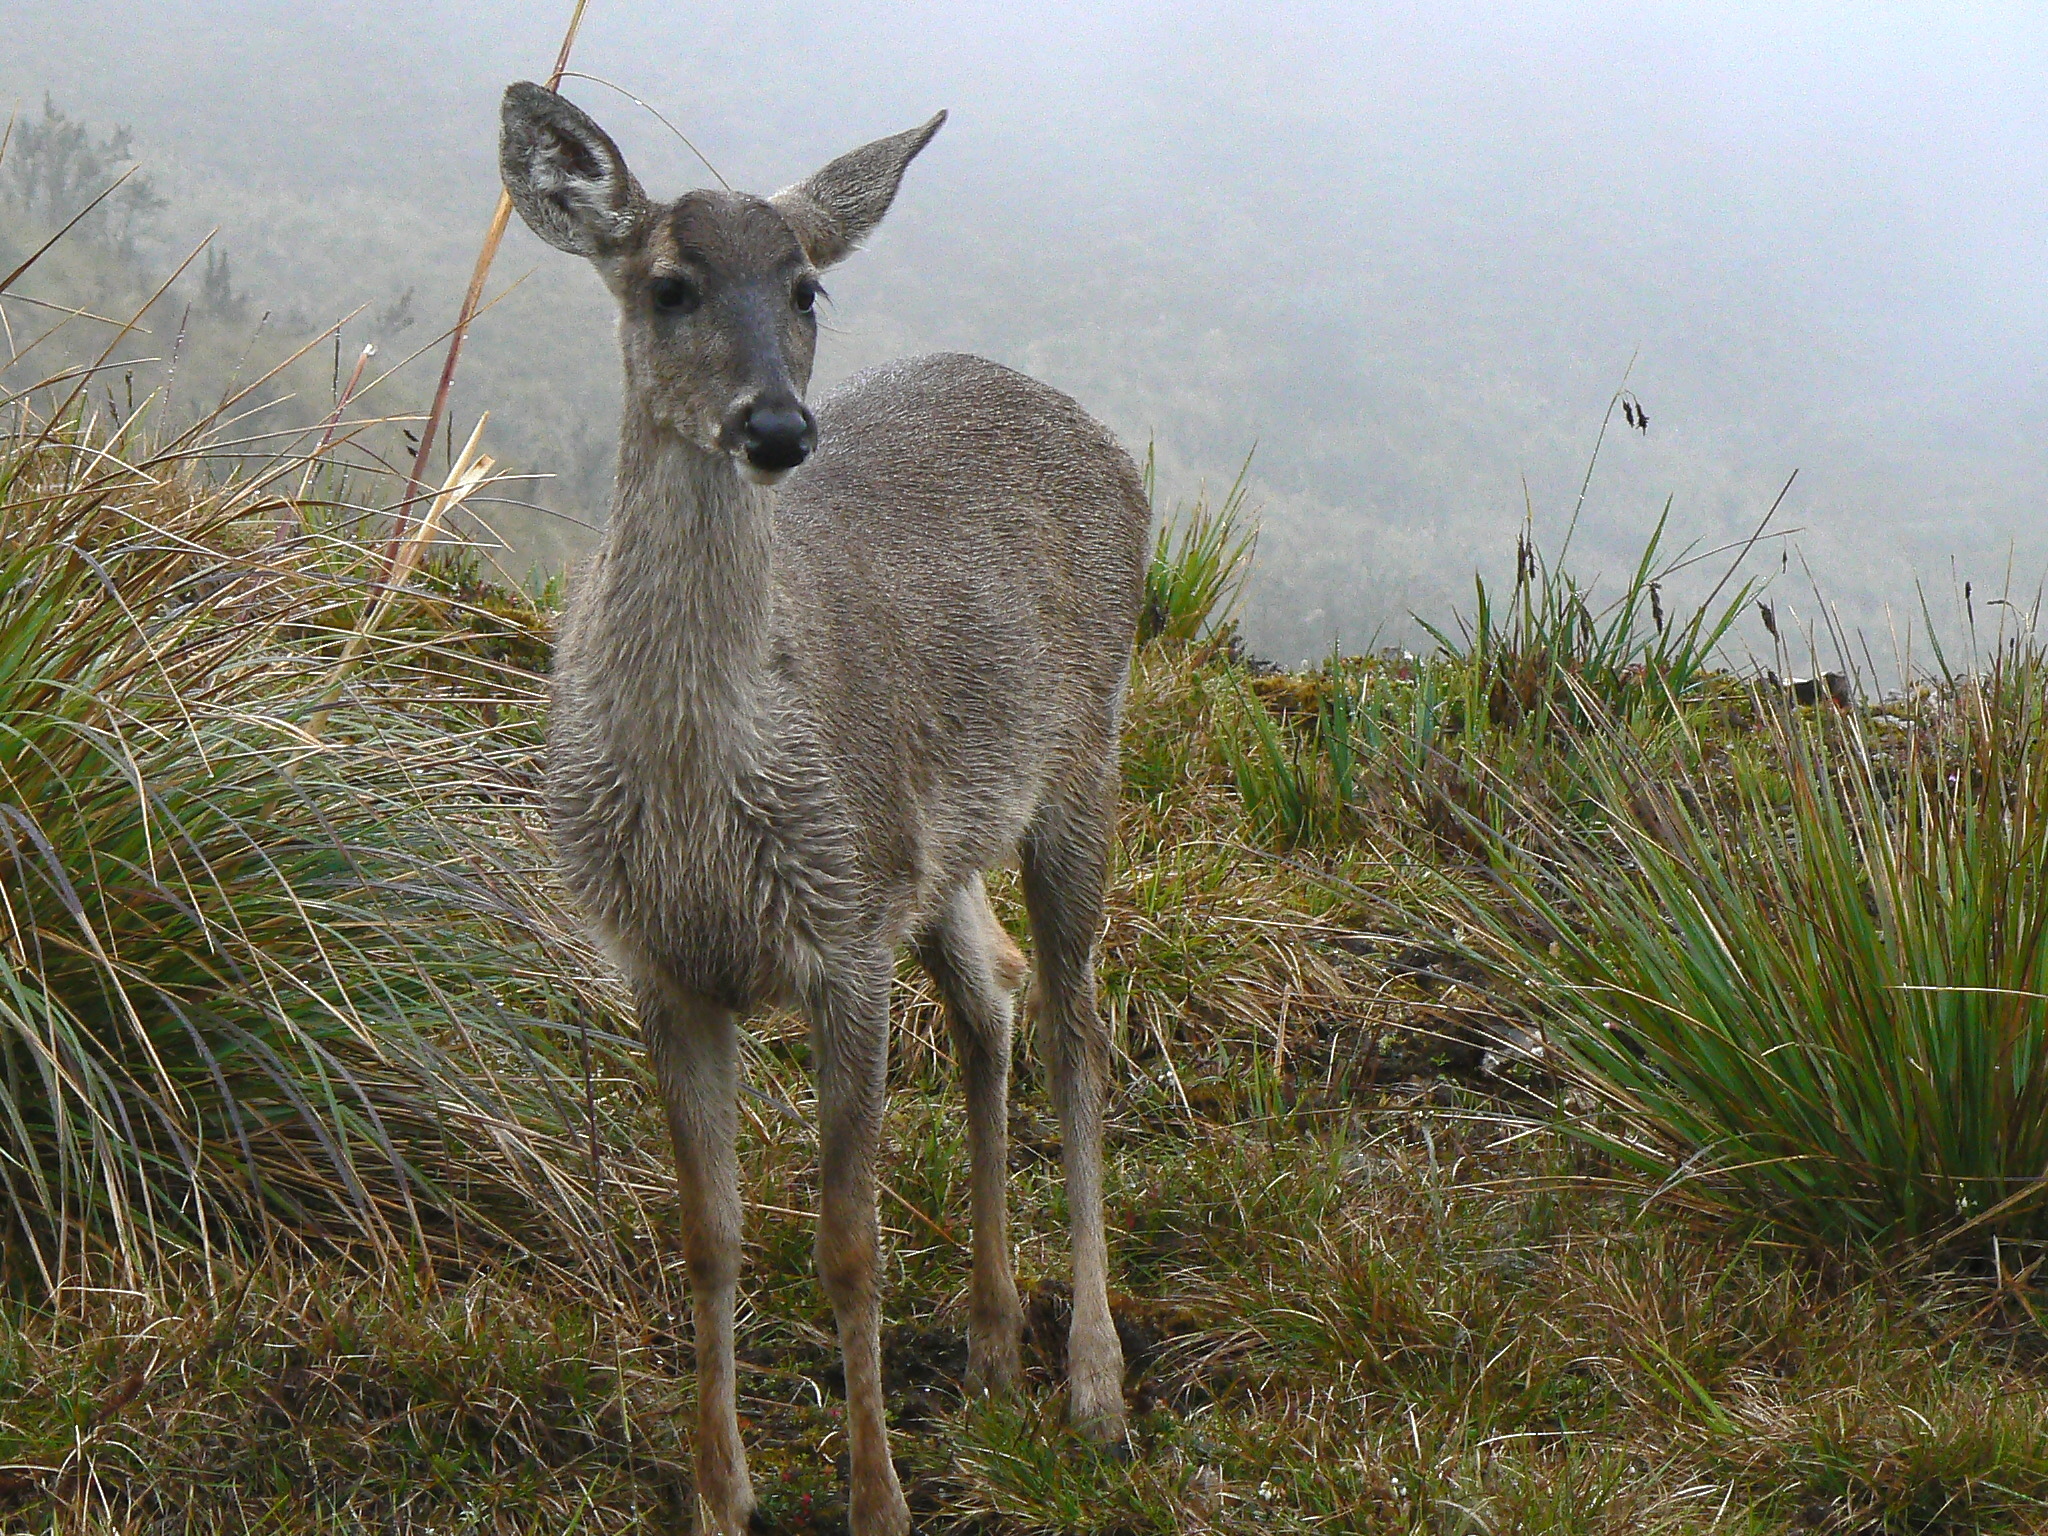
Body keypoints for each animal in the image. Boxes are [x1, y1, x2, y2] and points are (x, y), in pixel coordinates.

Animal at [498, 82, 1148, 1536]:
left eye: (805, 287)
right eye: (667, 284)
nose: (780, 428)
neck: (700, 805)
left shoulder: (840, 937)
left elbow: (848, 1244)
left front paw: (877, 1497)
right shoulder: (667, 961)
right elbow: (712, 1236)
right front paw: (717, 1494)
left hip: (1082, 764)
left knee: (1076, 1026)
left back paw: (1091, 1380)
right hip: (933, 845)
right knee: (991, 993)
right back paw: (989, 1342)